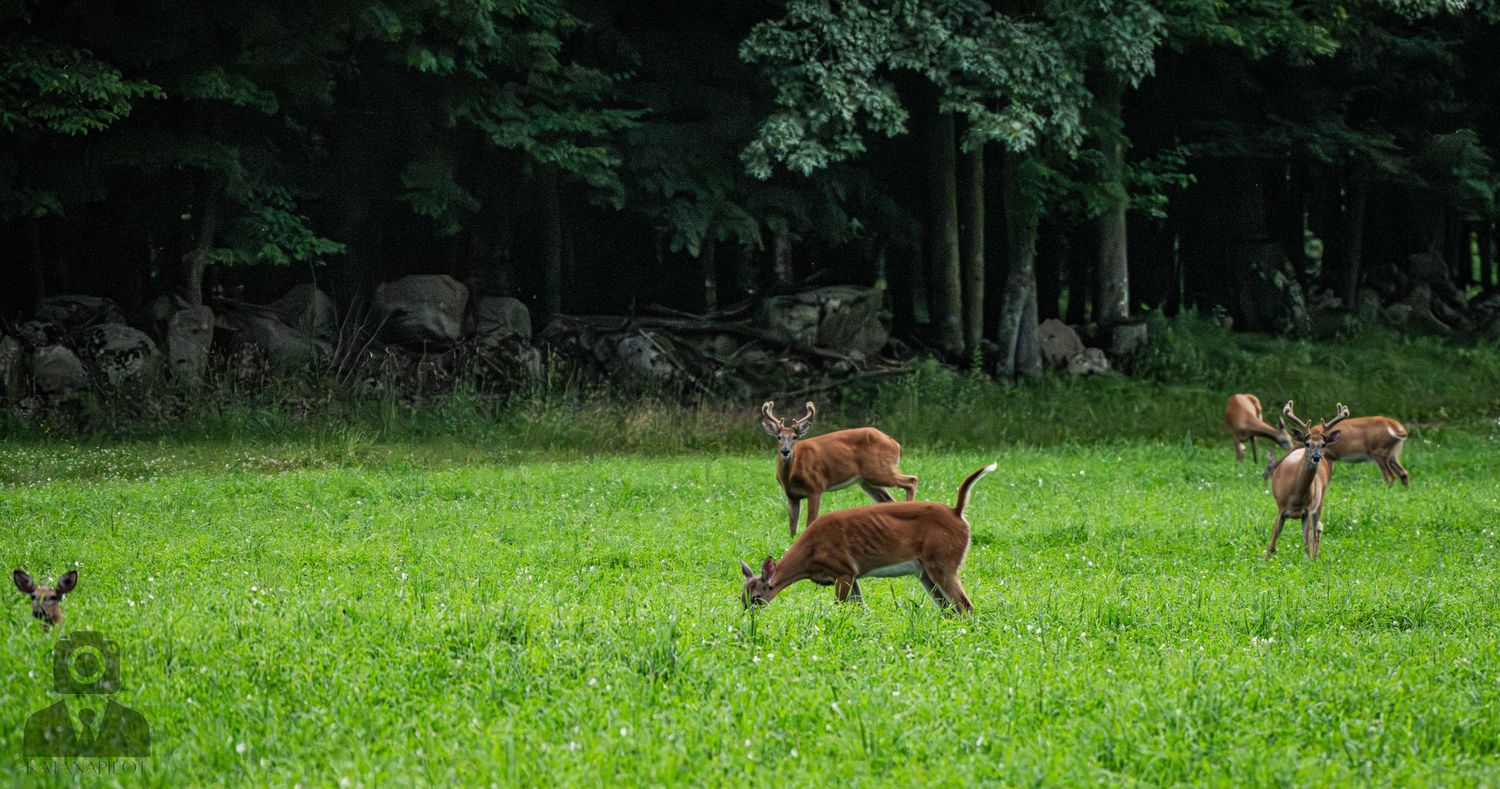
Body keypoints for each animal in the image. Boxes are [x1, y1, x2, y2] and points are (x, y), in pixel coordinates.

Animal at [739, 463, 994, 614]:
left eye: (757, 598)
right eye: (742, 597)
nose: (748, 616)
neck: (809, 557)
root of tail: (956, 511)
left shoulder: (843, 570)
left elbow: (843, 608)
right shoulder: (853, 574)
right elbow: (862, 609)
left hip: (942, 560)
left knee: (965, 605)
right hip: (924, 571)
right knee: (949, 609)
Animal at [760, 401, 918, 537]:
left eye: (795, 437)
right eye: (779, 437)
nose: (785, 451)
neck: (790, 476)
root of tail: (896, 444)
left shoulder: (815, 487)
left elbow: (810, 522)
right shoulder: (791, 496)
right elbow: (792, 528)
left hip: (880, 471)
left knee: (912, 480)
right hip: (867, 481)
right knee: (890, 500)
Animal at [1266, 401, 1347, 560]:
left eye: (1323, 444)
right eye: (1307, 443)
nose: (1316, 457)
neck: (1295, 496)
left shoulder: (1307, 510)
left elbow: (1306, 544)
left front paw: (1309, 561)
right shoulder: (1281, 508)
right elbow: (1272, 542)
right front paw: (1265, 560)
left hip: (1320, 500)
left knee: (1317, 529)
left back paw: (1315, 558)